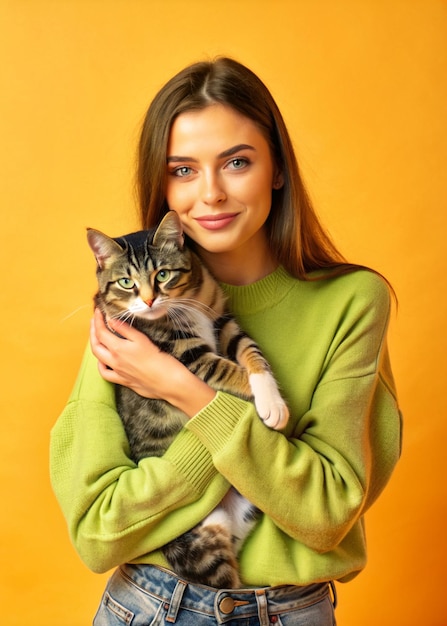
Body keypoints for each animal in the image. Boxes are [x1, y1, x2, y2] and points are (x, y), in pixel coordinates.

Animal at [87, 210, 290, 584]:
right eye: (126, 282)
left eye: (163, 275)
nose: (149, 300)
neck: (187, 304)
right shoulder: (183, 353)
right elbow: (227, 369)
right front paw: (274, 406)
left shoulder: (222, 319)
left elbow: (250, 352)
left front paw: (272, 398)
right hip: (196, 540)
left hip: (241, 513)